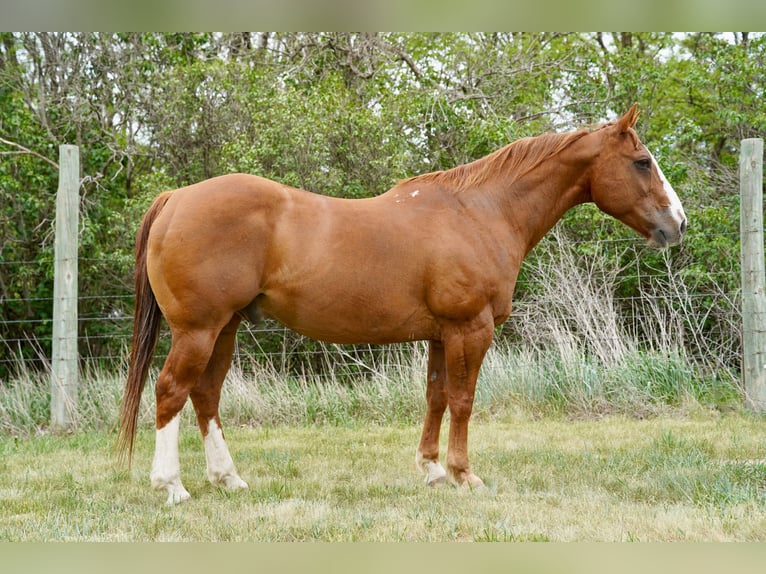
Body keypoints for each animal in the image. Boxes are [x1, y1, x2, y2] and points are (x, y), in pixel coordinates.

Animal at [118, 104, 686, 504]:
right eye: (642, 162)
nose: (677, 225)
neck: (481, 212)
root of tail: (176, 198)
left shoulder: (441, 334)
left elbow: (435, 397)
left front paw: (432, 470)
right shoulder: (471, 328)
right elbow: (463, 400)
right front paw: (464, 475)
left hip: (226, 328)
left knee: (205, 395)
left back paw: (228, 479)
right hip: (199, 329)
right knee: (171, 392)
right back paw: (171, 486)